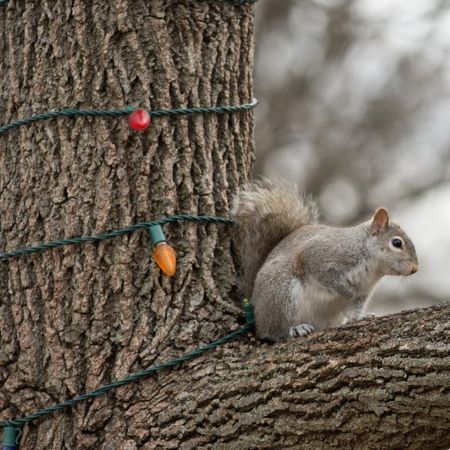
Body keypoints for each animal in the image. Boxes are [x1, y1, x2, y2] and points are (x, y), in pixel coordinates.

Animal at [232, 178, 418, 342]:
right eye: (397, 243)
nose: (415, 269)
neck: (372, 268)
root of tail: (256, 307)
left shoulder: (364, 291)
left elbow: (354, 311)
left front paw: (363, 316)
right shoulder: (321, 256)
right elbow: (328, 277)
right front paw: (347, 291)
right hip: (281, 292)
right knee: (273, 331)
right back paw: (295, 329)